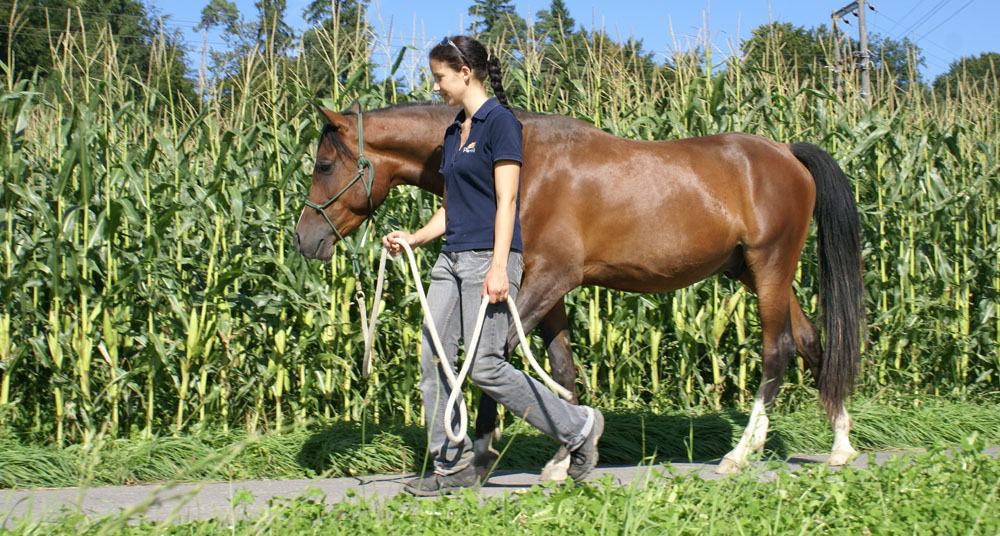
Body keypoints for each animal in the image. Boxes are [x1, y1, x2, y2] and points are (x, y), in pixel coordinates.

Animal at [292, 100, 864, 478]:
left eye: (324, 164)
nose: (304, 239)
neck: (521, 164)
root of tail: (787, 153)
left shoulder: (547, 279)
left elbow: (494, 357)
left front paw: (484, 455)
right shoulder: (548, 289)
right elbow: (560, 368)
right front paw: (568, 453)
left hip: (770, 267)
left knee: (778, 351)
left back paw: (740, 454)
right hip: (753, 271)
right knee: (811, 342)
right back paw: (840, 447)